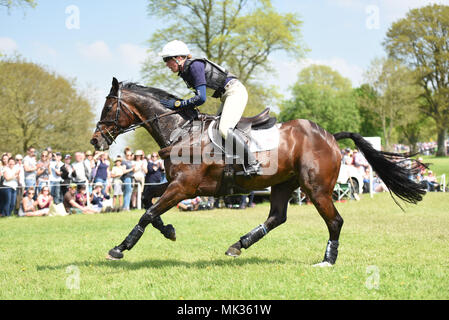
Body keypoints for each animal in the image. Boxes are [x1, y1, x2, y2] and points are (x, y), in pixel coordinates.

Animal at [91, 79, 428, 266]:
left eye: (107, 107)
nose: (95, 141)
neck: (181, 131)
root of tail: (331, 136)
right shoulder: (176, 185)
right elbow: (148, 200)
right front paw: (169, 230)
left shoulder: (184, 187)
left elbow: (147, 213)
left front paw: (120, 248)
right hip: (283, 184)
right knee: (277, 216)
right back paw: (237, 245)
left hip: (316, 189)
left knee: (335, 221)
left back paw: (327, 260)